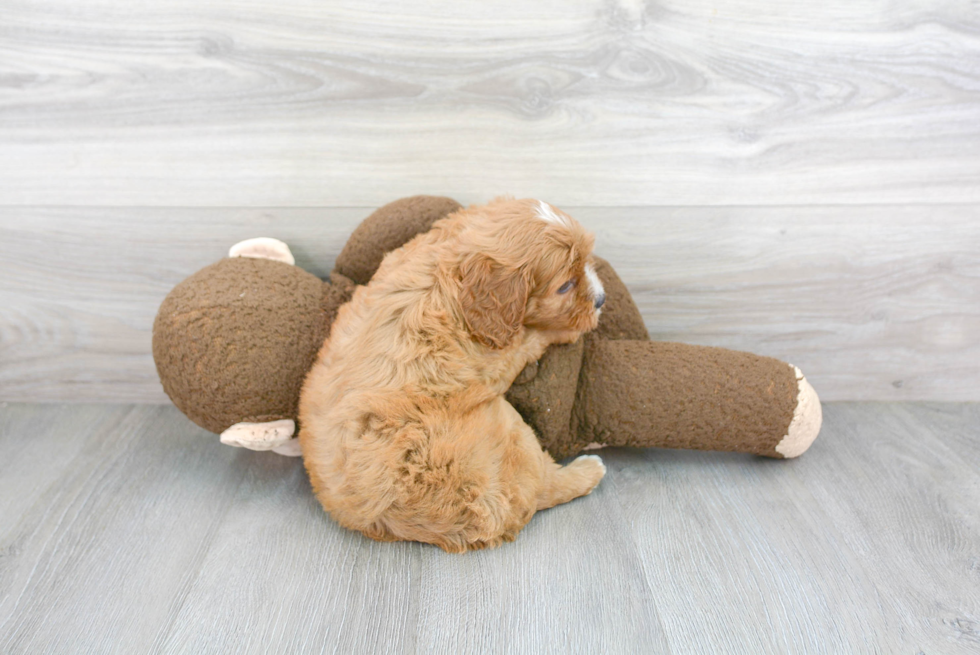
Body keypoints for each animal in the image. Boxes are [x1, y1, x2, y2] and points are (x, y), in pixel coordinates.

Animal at [296, 196, 604, 552]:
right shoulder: (494, 360)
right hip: (513, 430)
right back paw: (588, 469)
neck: (444, 271)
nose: (601, 299)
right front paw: (562, 331)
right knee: (545, 483)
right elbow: (527, 341)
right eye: (565, 286)